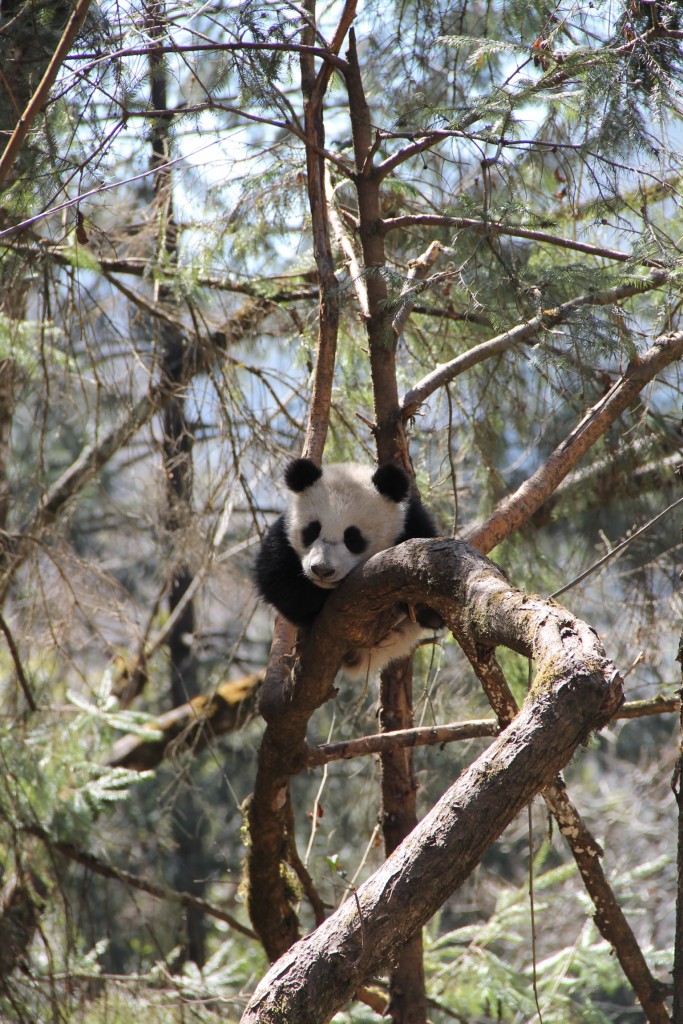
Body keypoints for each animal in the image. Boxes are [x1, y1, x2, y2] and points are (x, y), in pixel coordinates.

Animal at [253, 460, 440, 675]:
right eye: (312, 530)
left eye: (352, 538)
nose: (322, 570)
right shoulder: (283, 535)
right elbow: (276, 579)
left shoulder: (412, 525)